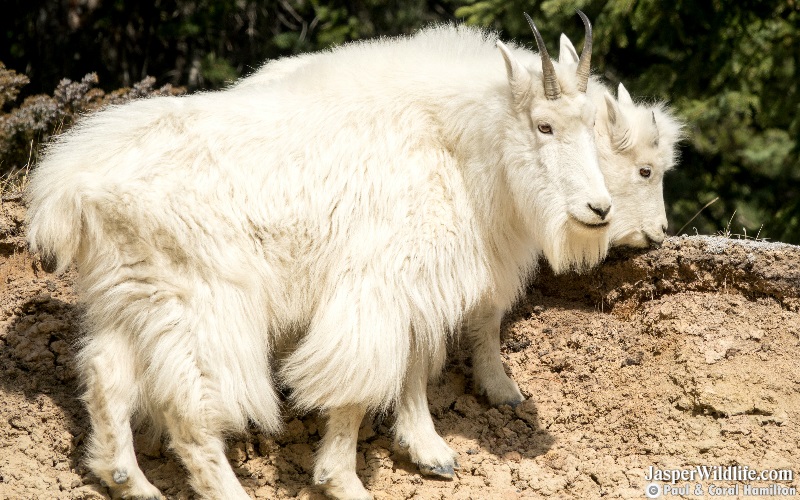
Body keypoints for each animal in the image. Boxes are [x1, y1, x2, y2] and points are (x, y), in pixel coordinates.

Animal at [26, 13, 612, 498]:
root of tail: (70, 184)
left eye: (594, 124)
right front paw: (343, 482)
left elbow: (414, 364)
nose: (599, 209)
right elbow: (359, 384)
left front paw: (430, 452)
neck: (452, 142)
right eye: (544, 125)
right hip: (202, 305)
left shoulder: (414, 283)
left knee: (105, 375)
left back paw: (129, 481)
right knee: (190, 413)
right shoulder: (377, 284)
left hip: (130, 295)